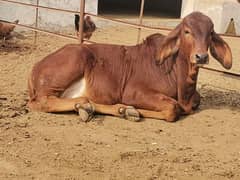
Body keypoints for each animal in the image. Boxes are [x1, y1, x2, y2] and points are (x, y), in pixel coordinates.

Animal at [27, 11, 232, 122]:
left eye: (210, 32)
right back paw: (88, 105)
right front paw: (136, 109)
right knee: (41, 102)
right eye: (187, 31)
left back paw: (108, 109)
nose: (201, 56)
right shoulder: (133, 92)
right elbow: (173, 108)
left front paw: (127, 110)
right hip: (73, 62)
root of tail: (35, 68)